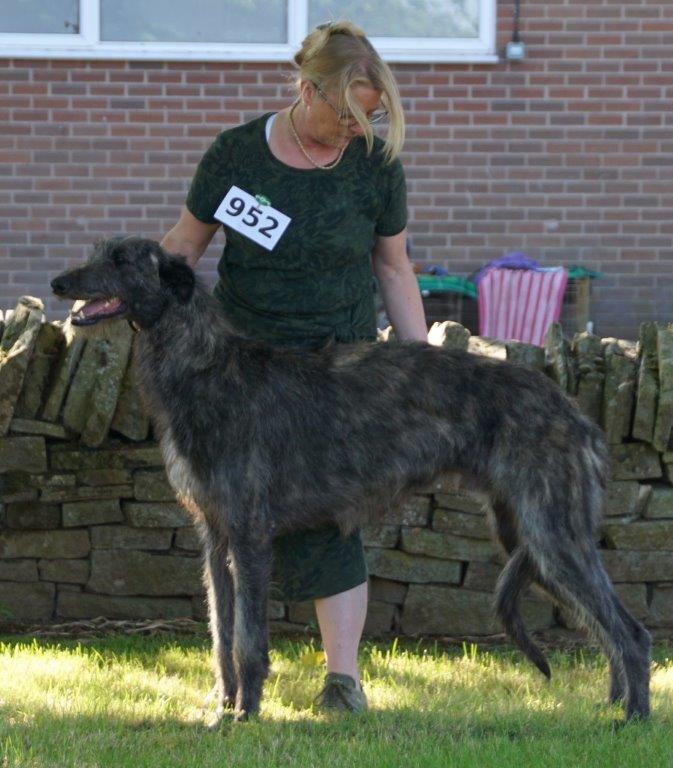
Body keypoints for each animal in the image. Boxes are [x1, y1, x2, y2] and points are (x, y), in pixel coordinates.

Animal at [52, 237, 652, 724]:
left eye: (121, 260)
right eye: (101, 251)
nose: (59, 283)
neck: (204, 366)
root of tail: (575, 411)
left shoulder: (249, 533)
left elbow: (247, 641)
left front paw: (246, 714)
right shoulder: (214, 536)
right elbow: (221, 635)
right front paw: (221, 707)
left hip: (552, 534)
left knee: (632, 631)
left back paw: (634, 721)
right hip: (526, 533)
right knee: (604, 627)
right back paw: (613, 706)